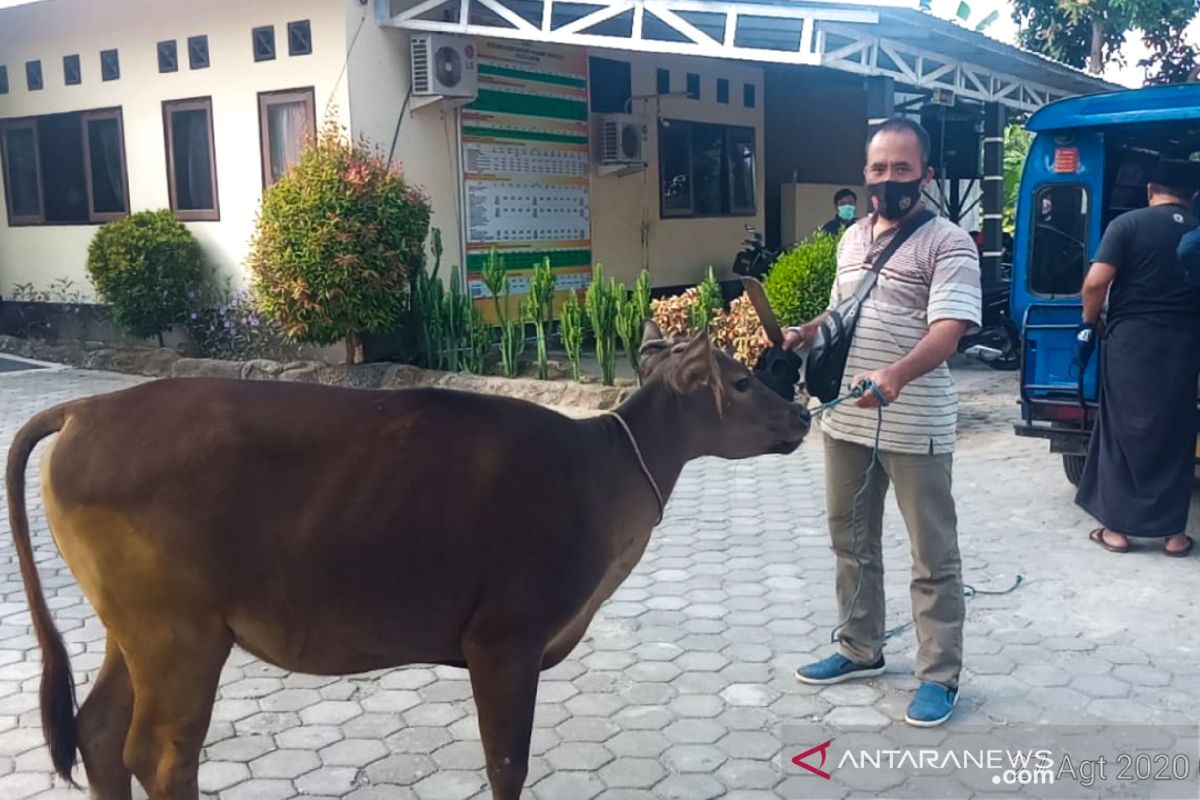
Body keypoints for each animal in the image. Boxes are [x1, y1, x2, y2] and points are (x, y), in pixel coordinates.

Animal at [4, 321, 811, 800]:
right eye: (743, 380)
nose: (803, 413)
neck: (601, 470)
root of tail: (85, 411)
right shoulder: (505, 639)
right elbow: (507, 765)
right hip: (182, 636)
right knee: (160, 756)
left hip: (137, 627)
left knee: (98, 733)